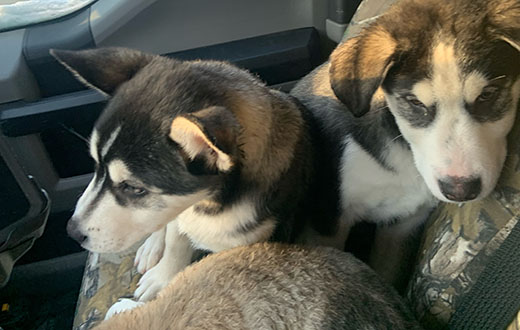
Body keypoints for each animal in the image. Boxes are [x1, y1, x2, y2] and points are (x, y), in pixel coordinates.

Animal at [53, 48, 342, 302]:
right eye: (95, 165)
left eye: (134, 188)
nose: (71, 232)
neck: (207, 204)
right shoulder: (179, 211)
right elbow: (175, 241)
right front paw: (163, 275)